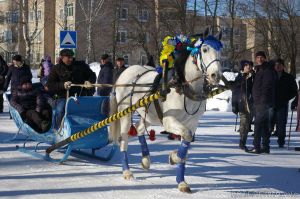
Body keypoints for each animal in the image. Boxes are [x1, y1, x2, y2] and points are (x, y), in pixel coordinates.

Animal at [109, 30, 221, 193]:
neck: (183, 86)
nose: (216, 75)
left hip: (149, 115)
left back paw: (145, 159)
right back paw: (127, 172)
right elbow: (185, 139)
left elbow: (186, 146)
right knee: (123, 139)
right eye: (205, 49)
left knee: (139, 128)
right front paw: (174, 158)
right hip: (125, 112)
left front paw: (181, 179)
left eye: (220, 50)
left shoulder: (192, 123)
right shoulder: (169, 121)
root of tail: (125, 72)